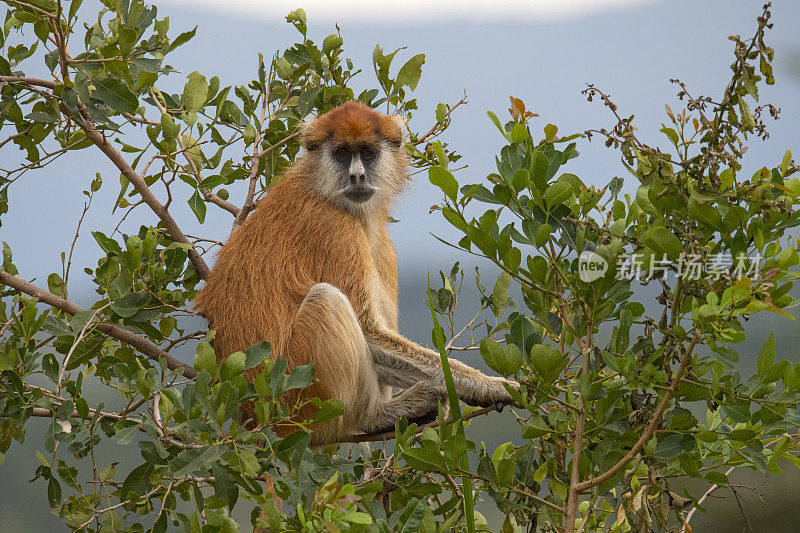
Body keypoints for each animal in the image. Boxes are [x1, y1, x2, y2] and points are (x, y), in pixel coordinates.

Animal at [197, 101, 516, 444]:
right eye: (341, 153)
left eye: (367, 151)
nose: (357, 176)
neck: (322, 188)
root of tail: (254, 420)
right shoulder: (335, 230)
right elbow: (369, 333)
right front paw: (494, 386)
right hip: (302, 402)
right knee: (327, 300)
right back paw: (374, 416)